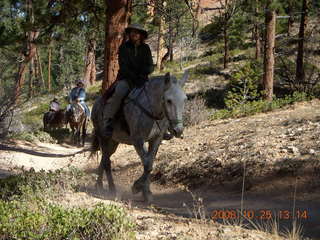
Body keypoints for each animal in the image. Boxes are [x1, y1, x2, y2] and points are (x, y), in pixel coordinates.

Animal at [90, 71, 189, 202]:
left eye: (185, 100)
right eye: (168, 100)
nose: (178, 130)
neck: (151, 112)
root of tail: (96, 105)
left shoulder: (155, 140)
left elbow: (150, 163)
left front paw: (146, 192)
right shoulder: (138, 141)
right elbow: (147, 165)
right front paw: (137, 187)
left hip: (113, 142)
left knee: (104, 159)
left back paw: (100, 186)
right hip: (103, 138)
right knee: (107, 162)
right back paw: (110, 189)